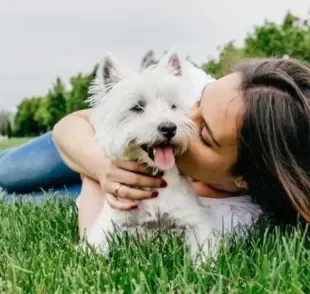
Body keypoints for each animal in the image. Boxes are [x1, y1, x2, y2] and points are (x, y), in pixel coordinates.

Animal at [82, 51, 218, 264]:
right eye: (137, 107)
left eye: (173, 106)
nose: (169, 128)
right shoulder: (112, 222)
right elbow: (95, 246)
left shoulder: (195, 220)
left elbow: (204, 249)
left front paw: (203, 267)